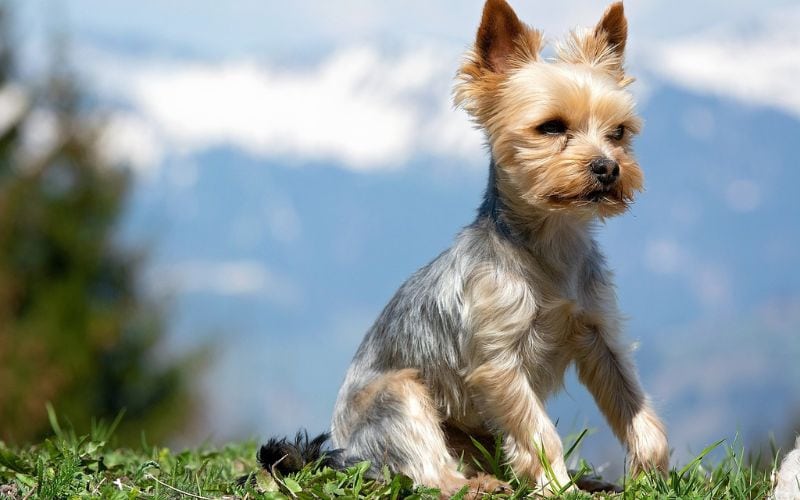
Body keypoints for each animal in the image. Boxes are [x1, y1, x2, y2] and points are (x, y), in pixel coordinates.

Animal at [260, 0, 668, 494]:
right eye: (551, 127)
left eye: (620, 132)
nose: (608, 168)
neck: (551, 243)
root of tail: (341, 451)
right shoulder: (499, 362)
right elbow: (537, 431)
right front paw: (557, 487)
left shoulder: (599, 334)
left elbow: (636, 408)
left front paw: (649, 477)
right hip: (399, 396)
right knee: (430, 475)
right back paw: (481, 486)